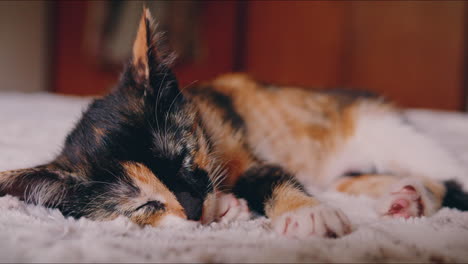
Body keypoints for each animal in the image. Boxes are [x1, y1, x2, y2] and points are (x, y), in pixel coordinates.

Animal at [0, 9, 468, 238]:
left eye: (185, 157)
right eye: (144, 205)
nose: (191, 206)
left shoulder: (238, 146)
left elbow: (271, 177)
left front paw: (306, 214)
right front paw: (225, 209)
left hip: (378, 127)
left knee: (447, 174)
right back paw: (405, 198)